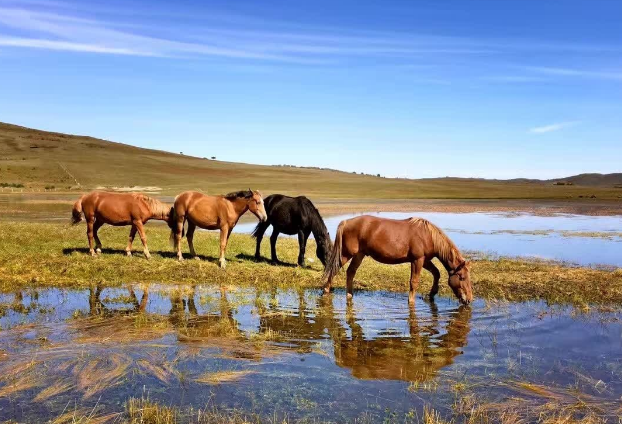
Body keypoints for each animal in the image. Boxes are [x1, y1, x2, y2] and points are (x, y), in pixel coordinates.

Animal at [324, 215, 476, 304]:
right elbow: (414, 282)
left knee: (350, 272)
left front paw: (432, 294)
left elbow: (436, 273)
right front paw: (411, 301)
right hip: (346, 254)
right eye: (462, 278)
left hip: (359, 255)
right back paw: (326, 291)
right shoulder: (417, 260)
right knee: (333, 269)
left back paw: (349, 295)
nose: (469, 299)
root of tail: (346, 222)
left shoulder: (425, 260)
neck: (428, 236)